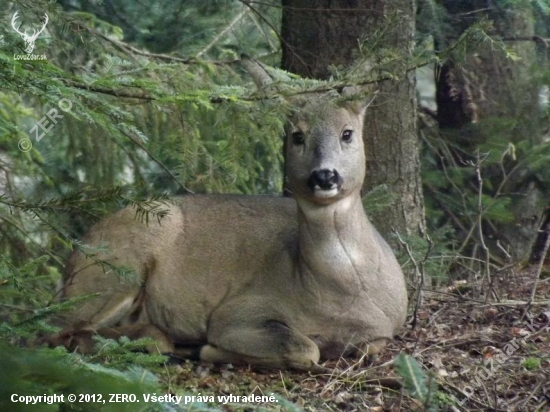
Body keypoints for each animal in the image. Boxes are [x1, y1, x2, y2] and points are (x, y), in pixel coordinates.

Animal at [54, 56, 410, 372]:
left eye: (347, 133)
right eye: (297, 136)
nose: (324, 176)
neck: (341, 296)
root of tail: (75, 254)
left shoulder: (386, 329)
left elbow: (367, 345)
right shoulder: (239, 310)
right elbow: (306, 347)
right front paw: (210, 350)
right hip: (116, 268)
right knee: (65, 331)